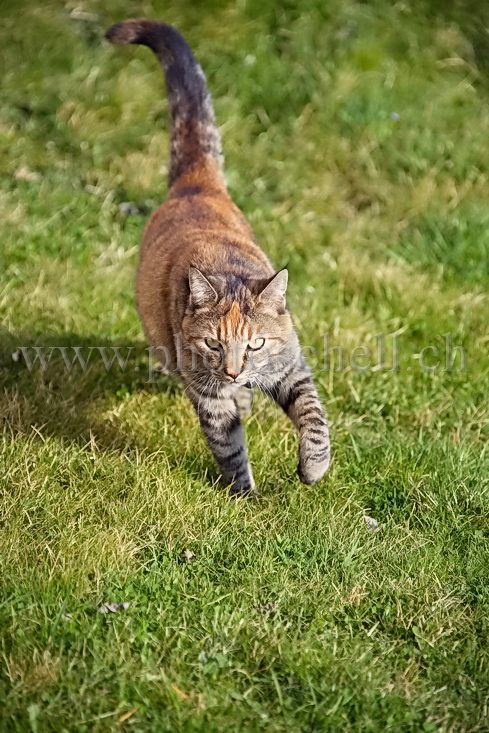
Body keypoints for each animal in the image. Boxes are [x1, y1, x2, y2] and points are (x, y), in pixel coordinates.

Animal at [105, 18, 330, 498]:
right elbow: (229, 446)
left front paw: (314, 466)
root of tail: (196, 183)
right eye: (213, 343)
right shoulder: (209, 396)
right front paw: (245, 497)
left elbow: (314, 415)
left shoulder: (291, 367)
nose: (231, 372)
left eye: (256, 343)